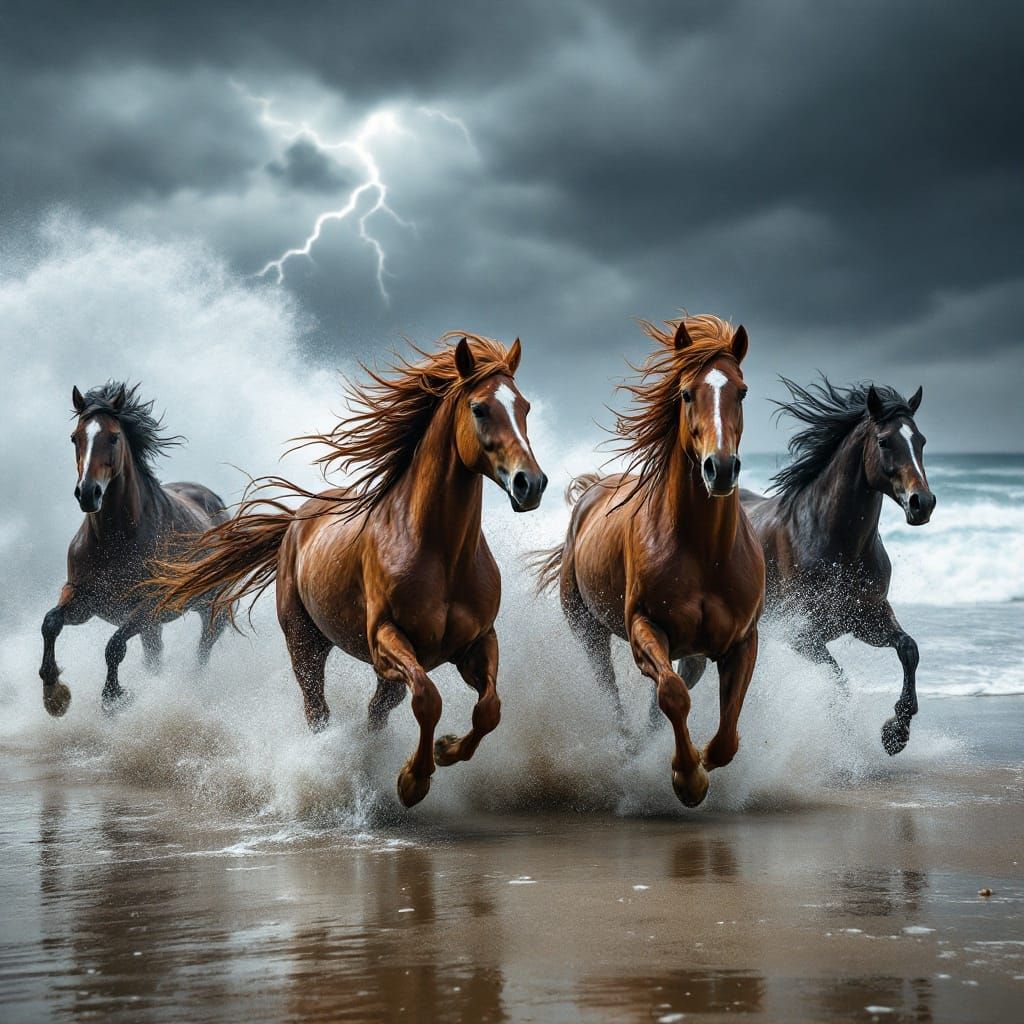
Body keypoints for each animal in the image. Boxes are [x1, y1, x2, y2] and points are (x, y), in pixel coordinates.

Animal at [39, 382, 230, 717]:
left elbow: (114, 646)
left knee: (203, 651)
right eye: (75, 437)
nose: (88, 493)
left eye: (114, 437)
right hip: (156, 627)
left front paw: (113, 698)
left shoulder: (150, 604)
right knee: (155, 656)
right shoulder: (84, 600)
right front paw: (54, 693)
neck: (115, 540)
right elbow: (50, 623)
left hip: (211, 609)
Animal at [149, 334, 547, 807]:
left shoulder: (478, 641)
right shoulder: (385, 638)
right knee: (318, 709)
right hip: (305, 643)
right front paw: (412, 781)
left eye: (524, 407)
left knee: (379, 710)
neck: (442, 553)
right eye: (480, 408)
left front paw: (445, 750)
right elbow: (428, 699)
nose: (530, 484)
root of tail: (297, 519)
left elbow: (489, 710)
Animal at [533, 315, 764, 808]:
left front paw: (699, 761)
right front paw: (687, 779)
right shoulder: (644, 626)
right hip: (588, 631)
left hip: (692, 652)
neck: (704, 553)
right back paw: (626, 746)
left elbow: (727, 736)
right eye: (687, 393)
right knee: (613, 690)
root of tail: (591, 492)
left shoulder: (740, 641)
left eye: (741, 391)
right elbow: (672, 695)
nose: (720, 468)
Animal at [734, 377, 935, 755]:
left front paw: (896, 734)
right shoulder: (802, 635)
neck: (840, 546)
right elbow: (838, 682)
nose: (923, 503)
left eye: (921, 440)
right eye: (884, 441)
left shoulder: (866, 620)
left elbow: (909, 650)